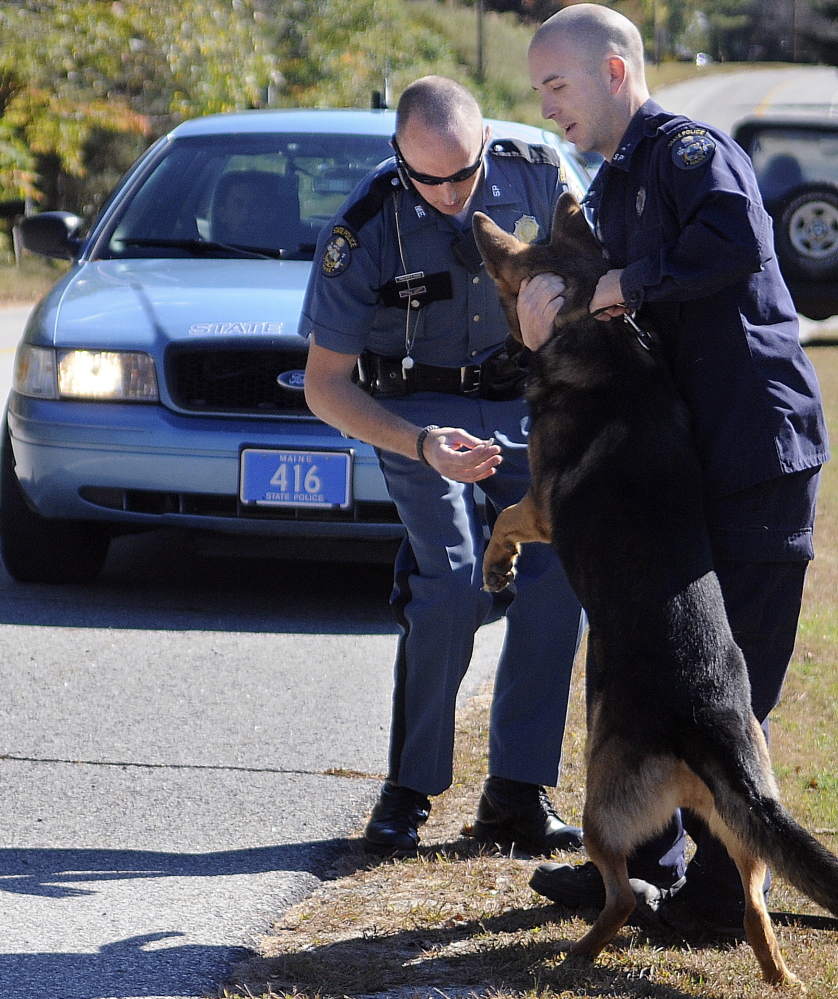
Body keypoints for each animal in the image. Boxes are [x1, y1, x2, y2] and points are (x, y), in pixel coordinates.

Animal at [472, 195, 838, 984]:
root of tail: (703, 723)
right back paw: (779, 975)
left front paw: (498, 567)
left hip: (601, 807)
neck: (597, 324)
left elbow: (507, 516)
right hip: (741, 830)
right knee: (753, 906)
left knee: (619, 895)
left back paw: (577, 955)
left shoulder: (540, 505)